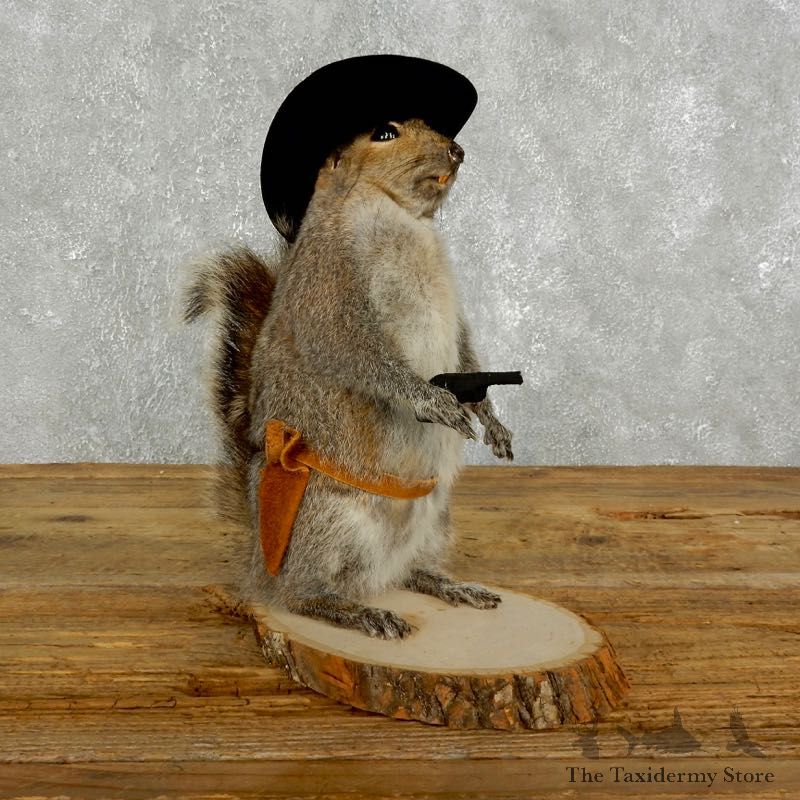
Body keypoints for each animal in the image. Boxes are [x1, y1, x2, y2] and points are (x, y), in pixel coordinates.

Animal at [184, 117, 514, 639]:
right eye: (385, 133)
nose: (456, 151)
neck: (402, 217)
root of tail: (258, 565)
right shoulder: (328, 286)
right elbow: (355, 352)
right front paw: (432, 400)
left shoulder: (456, 321)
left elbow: (466, 354)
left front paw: (493, 421)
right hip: (326, 521)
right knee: (299, 595)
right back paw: (355, 611)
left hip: (437, 521)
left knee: (409, 572)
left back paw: (451, 586)